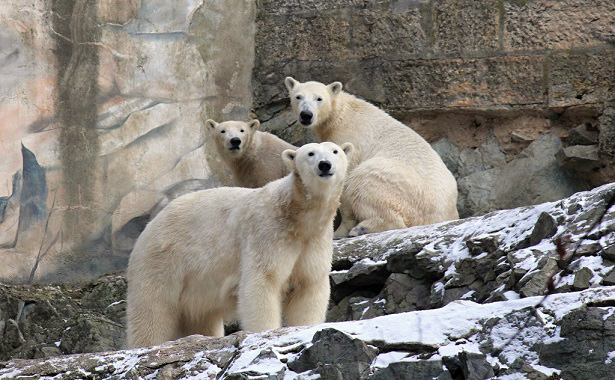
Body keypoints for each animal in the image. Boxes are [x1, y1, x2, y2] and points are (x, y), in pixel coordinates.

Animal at [125, 142, 354, 348]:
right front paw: (265, 330)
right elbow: (263, 281)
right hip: (164, 260)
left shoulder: (315, 240)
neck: (298, 216)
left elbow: (309, 285)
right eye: (310, 153)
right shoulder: (267, 233)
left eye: (335, 151)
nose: (325, 165)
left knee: (201, 317)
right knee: (153, 310)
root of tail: (149, 227)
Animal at [286, 76, 460, 238]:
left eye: (319, 98)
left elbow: (345, 178)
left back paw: (361, 228)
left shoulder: (349, 141)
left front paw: (339, 231)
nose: (306, 115)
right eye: (298, 97)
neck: (341, 116)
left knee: (365, 183)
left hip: (401, 187)